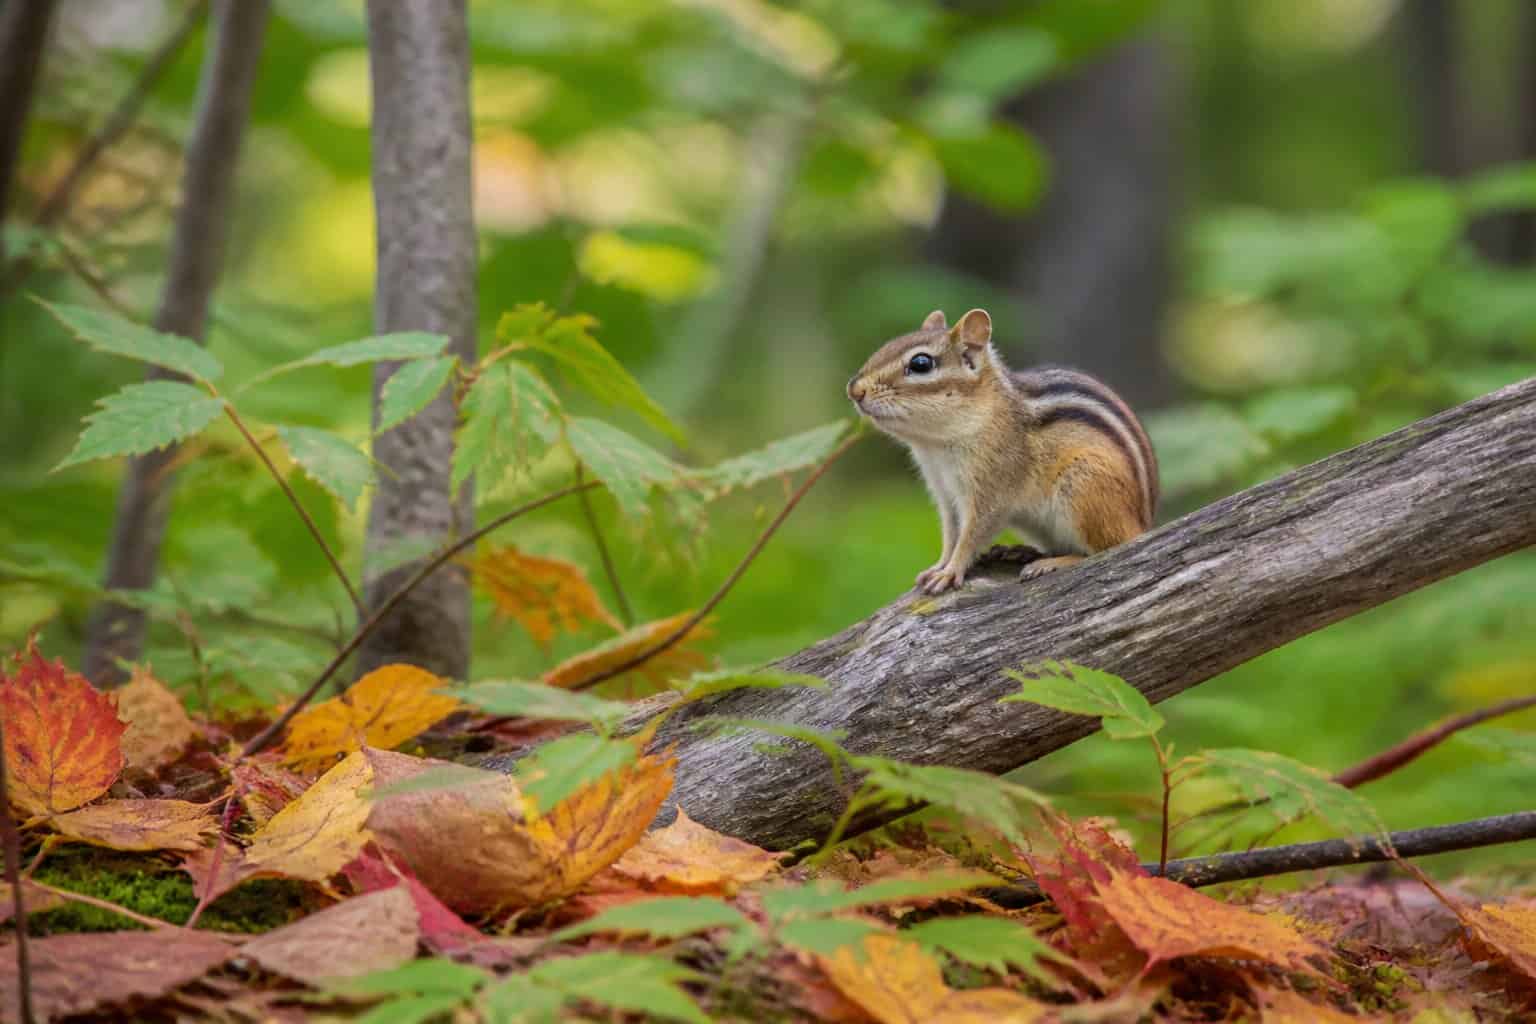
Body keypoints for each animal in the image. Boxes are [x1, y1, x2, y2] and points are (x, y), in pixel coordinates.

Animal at [847, 308, 1158, 595]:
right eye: (887, 345)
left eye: (920, 363)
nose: (854, 390)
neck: (935, 445)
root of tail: (1144, 525)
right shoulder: (944, 492)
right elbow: (951, 533)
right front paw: (939, 565)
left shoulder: (993, 488)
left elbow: (971, 534)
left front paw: (950, 571)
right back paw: (1021, 552)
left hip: (1084, 485)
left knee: (1107, 547)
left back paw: (1052, 562)